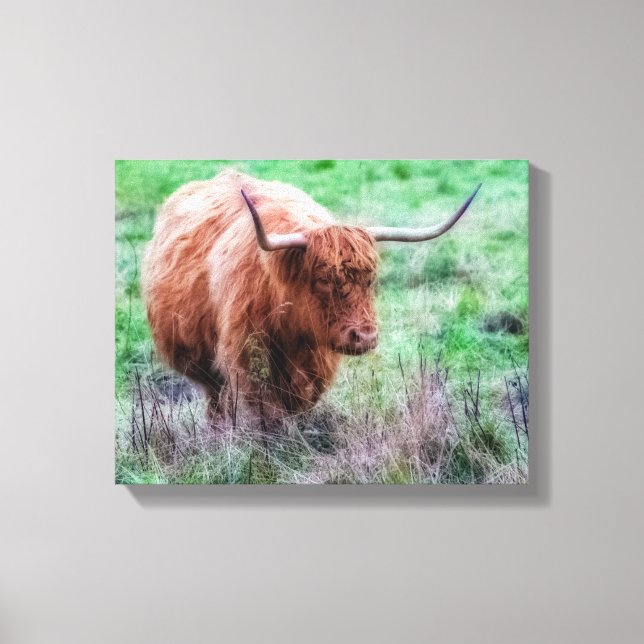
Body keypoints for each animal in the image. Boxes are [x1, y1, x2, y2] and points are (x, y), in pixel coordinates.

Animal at [142, 169, 480, 424]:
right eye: (323, 280)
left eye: (370, 279)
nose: (365, 336)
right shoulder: (248, 357)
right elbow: (268, 411)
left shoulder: (316, 361)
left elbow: (299, 401)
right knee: (216, 398)